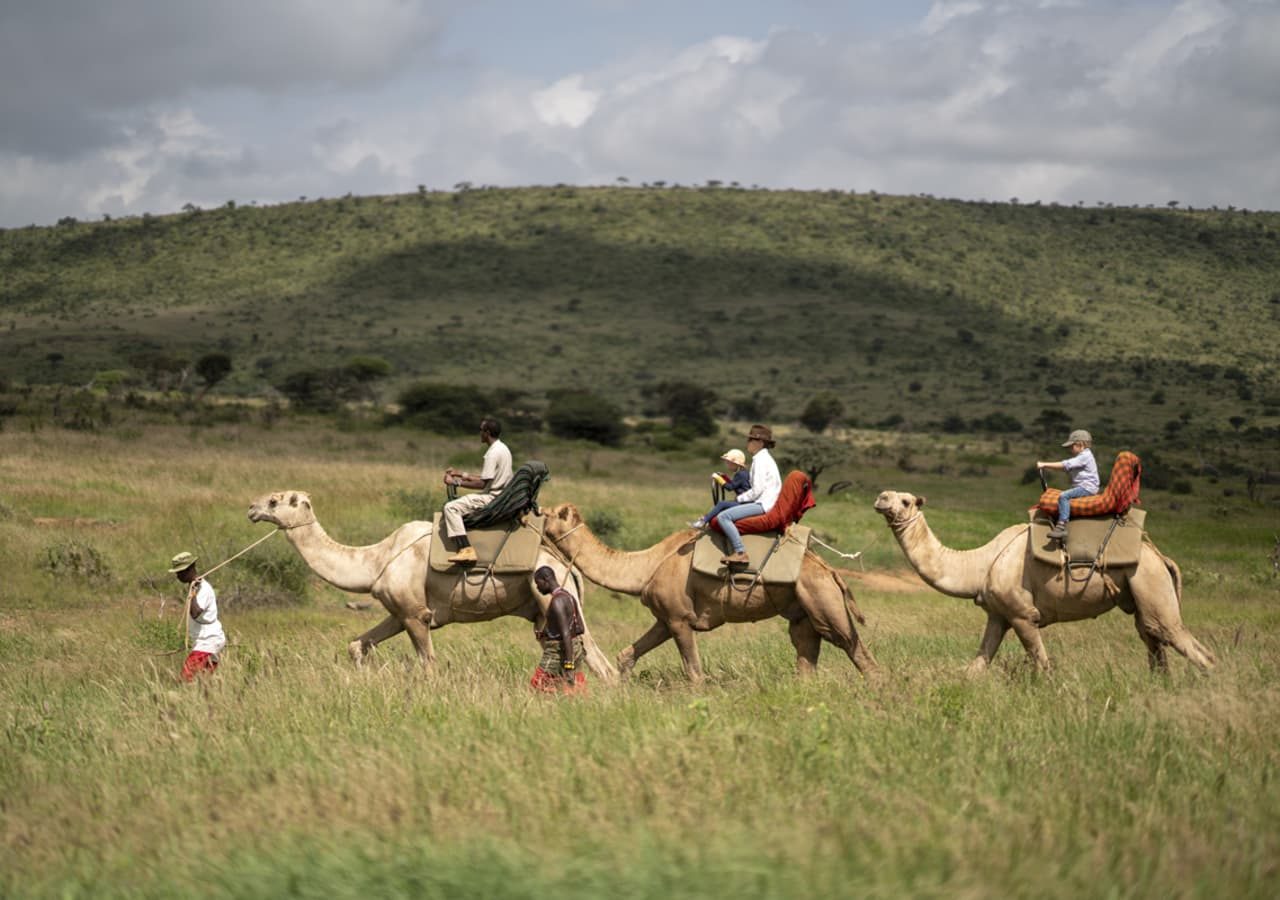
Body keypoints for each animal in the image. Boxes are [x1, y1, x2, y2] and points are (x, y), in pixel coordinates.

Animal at [245, 491, 619, 681]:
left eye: (275, 501)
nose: (251, 507)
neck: (377, 559)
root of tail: (568, 567)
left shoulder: (416, 614)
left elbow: (428, 664)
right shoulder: (399, 611)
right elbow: (357, 645)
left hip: (554, 594)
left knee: (598, 660)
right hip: (543, 610)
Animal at [540, 499, 880, 681]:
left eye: (551, 514)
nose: (536, 508)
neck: (647, 565)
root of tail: (830, 571)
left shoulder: (679, 619)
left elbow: (694, 672)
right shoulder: (665, 618)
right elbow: (626, 655)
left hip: (823, 599)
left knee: (856, 649)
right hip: (802, 612)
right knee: (806, 654)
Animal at [875, 491, 1213, 675]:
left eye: (905, 501)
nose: (881, 498)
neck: (980, 563)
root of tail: (1162, 557)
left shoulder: (1023, 614)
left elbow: (1042, 664)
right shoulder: (998, 614)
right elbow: (976, 666)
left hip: (1148, 579)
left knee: (1179, 639)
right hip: (1139, 589)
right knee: (1153, 638)